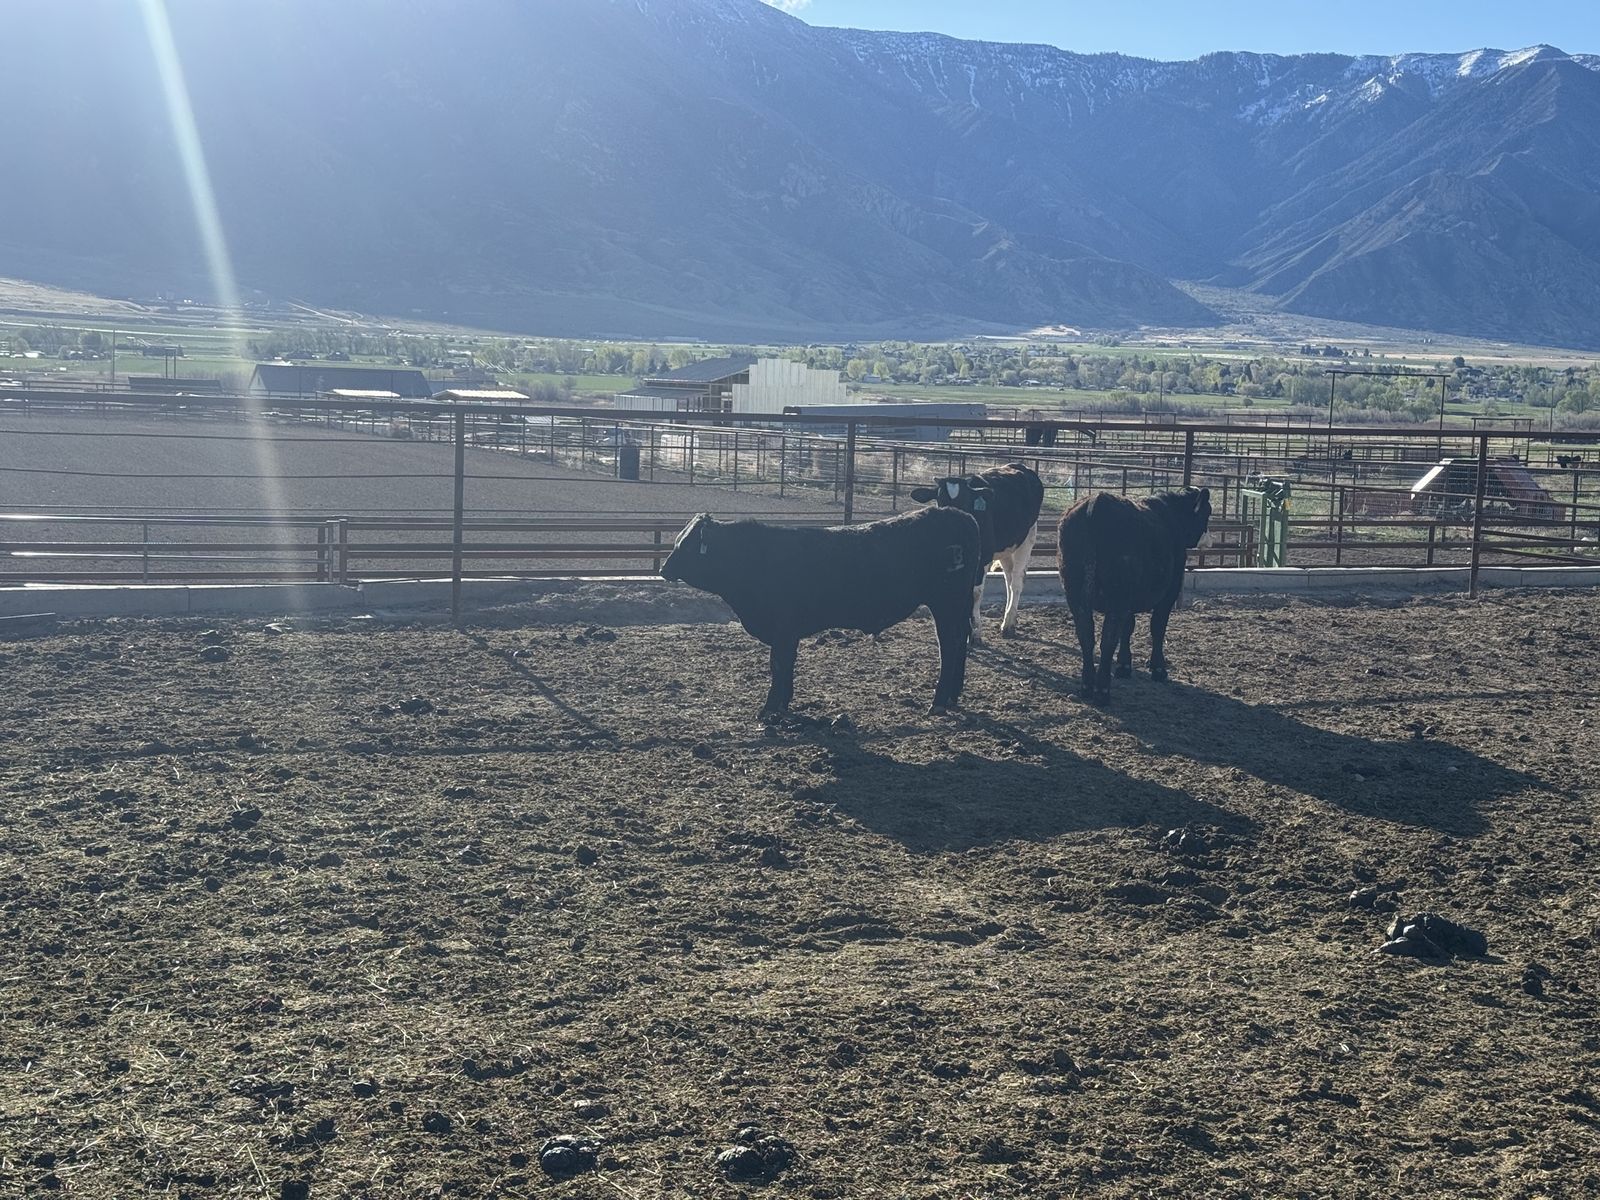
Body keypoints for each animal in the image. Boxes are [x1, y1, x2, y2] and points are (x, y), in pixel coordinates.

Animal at [660, 507, 982, 717]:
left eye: (686, 545)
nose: (663, 569)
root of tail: (960, 515)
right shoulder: (786, 634)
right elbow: (785, 666)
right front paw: (783, 704)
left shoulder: (783, 630)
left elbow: (779, 665)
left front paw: (769, 709)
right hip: (957, 605)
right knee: (960, 642)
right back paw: (952, 697)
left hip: (946, 603)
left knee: (950, 645)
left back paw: (938, 701)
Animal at [910, 462, 1045, 644]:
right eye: (941, 501)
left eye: (966, 502)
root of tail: (1021, 467)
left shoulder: (983, 559)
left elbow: (975, 593)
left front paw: (975, 633)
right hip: (1006, 548)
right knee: (1008, 579)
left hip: (1027, 538)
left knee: (1017, 581)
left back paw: (1009, 625)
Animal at [1056, 487, 1212, 704]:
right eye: (1207, 513)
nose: (1208, 539)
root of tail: (1095, 504)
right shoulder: (1168, 594)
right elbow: (1157, 628)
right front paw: (1158, 669)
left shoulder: (1128, 603)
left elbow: (1128, 628)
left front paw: (1124, 665)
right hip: (1117, 598)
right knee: (1108, 639)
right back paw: (1102, 691)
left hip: (1076, 595)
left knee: (1086, 636)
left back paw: (1087, 686)